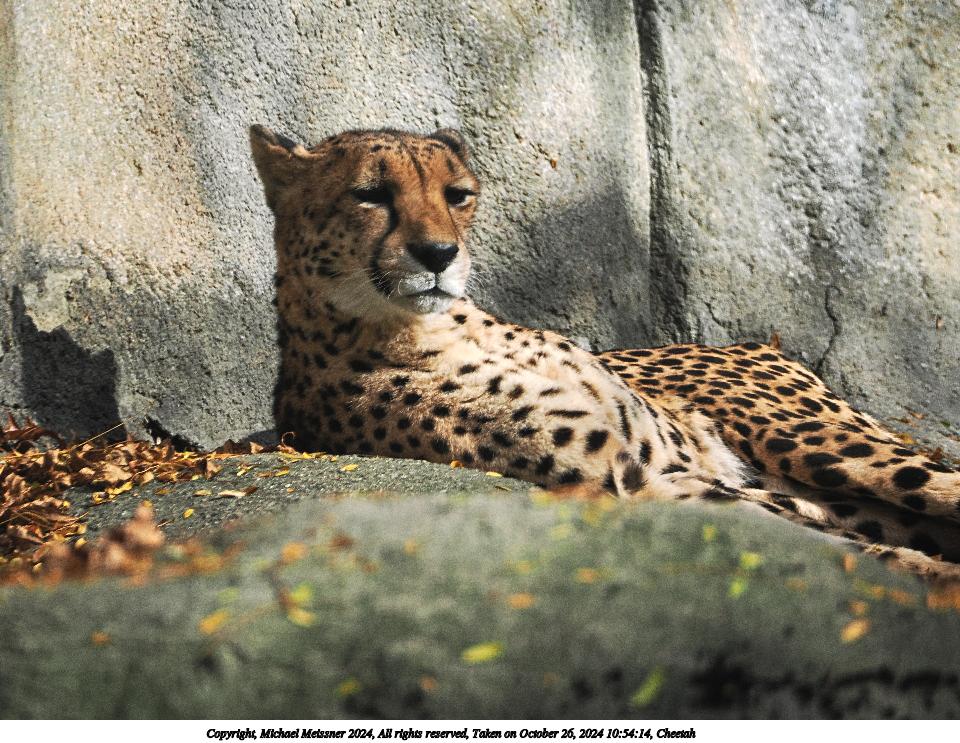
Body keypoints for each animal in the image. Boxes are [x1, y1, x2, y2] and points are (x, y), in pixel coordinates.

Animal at [250, 123, 960, 579]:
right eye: (370, 194)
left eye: (457, 195)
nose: (439, 254)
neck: (446, 327)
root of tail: (752, 339)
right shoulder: (640, 483)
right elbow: (836, 547)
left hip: (811, 442)